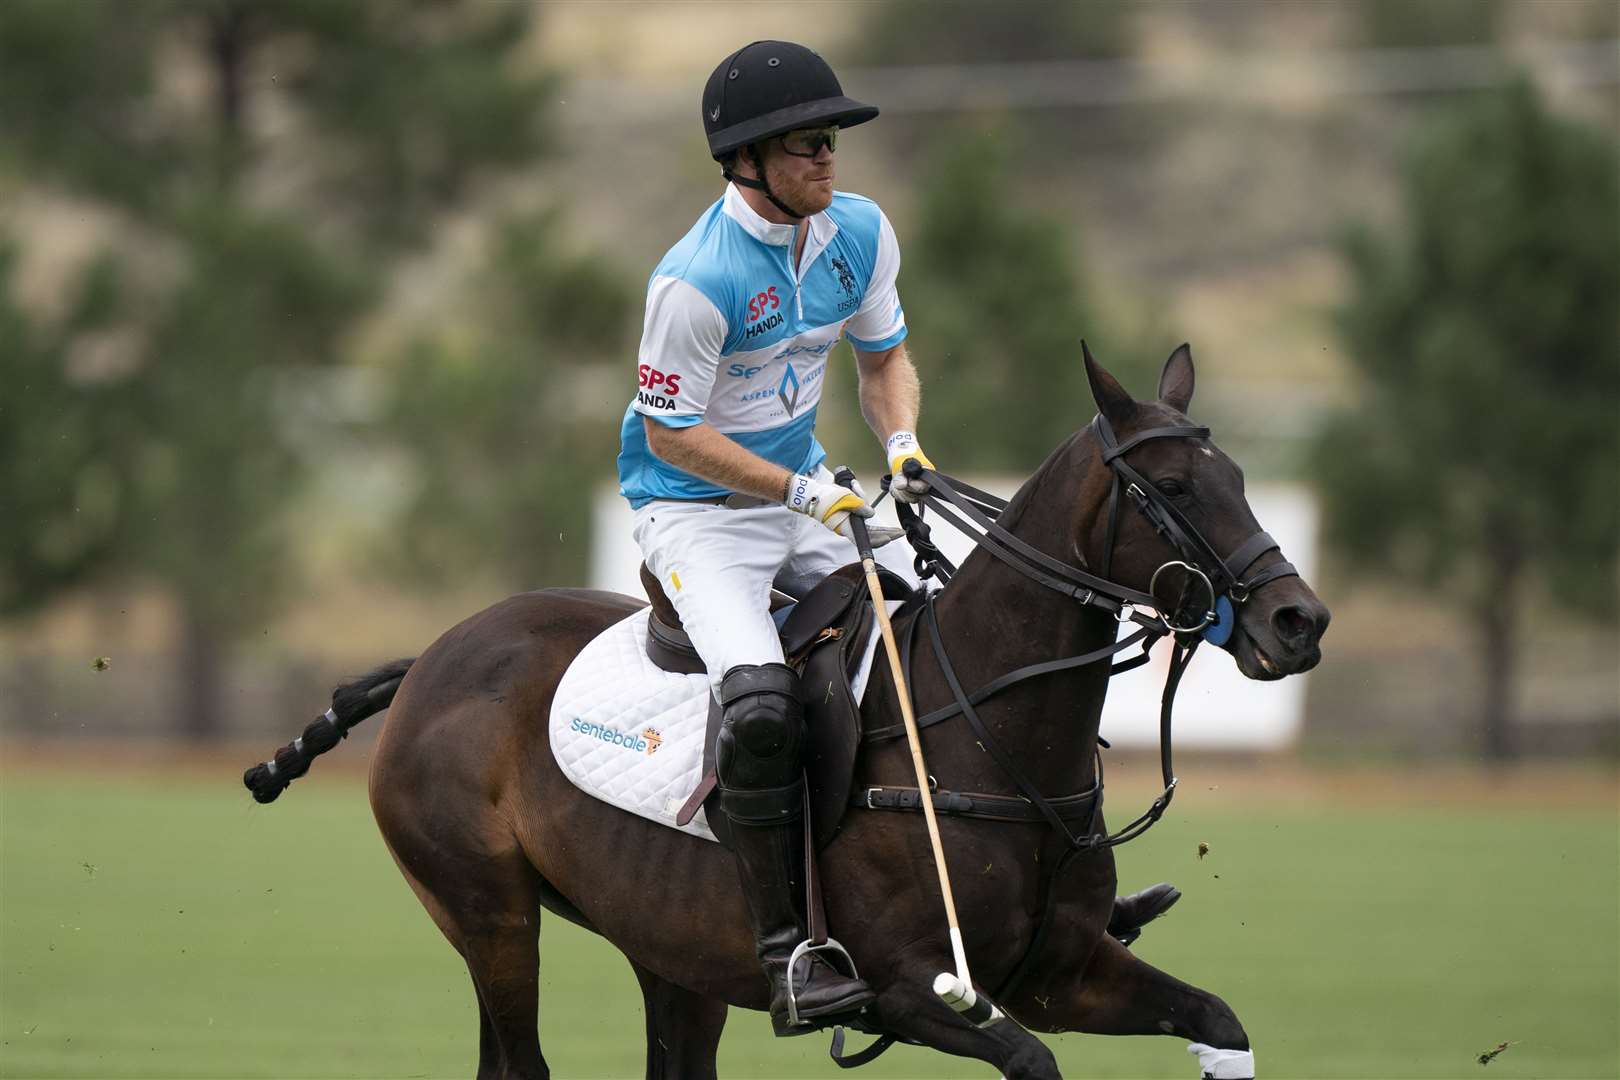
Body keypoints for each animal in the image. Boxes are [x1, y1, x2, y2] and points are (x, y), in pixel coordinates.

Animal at [243, 348, 1328, 1080]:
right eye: (1175, 487)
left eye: (1243, 479)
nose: (1299, 620)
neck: (987, 736)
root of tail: (431, 657)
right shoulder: (917, 987)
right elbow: (1032, 1061)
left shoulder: (1063, 973)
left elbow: (1220, 1021)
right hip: (487, 912)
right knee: (520, 1060)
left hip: (667, 952)